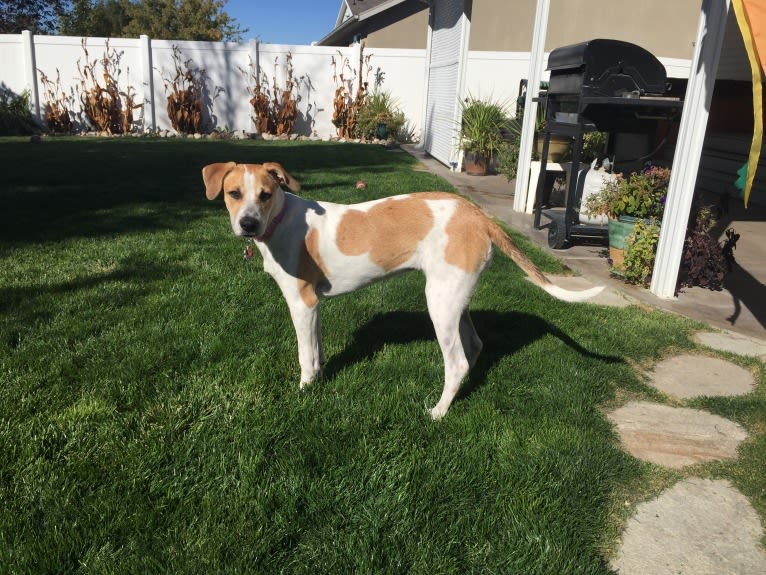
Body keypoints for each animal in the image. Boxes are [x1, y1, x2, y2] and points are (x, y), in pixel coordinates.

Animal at [204, 161, 608, 418]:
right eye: (234, 193)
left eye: (266, 194)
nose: (248, 225)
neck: (282, 221)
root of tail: (478, 214)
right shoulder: (315, 305)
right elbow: (317, 351)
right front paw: (318, 380)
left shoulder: (301, 302)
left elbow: (305, 356)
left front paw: (304, 392)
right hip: (455, 298)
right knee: (474, 348)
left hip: (439, 304)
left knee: (457, 362)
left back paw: (439, 412)